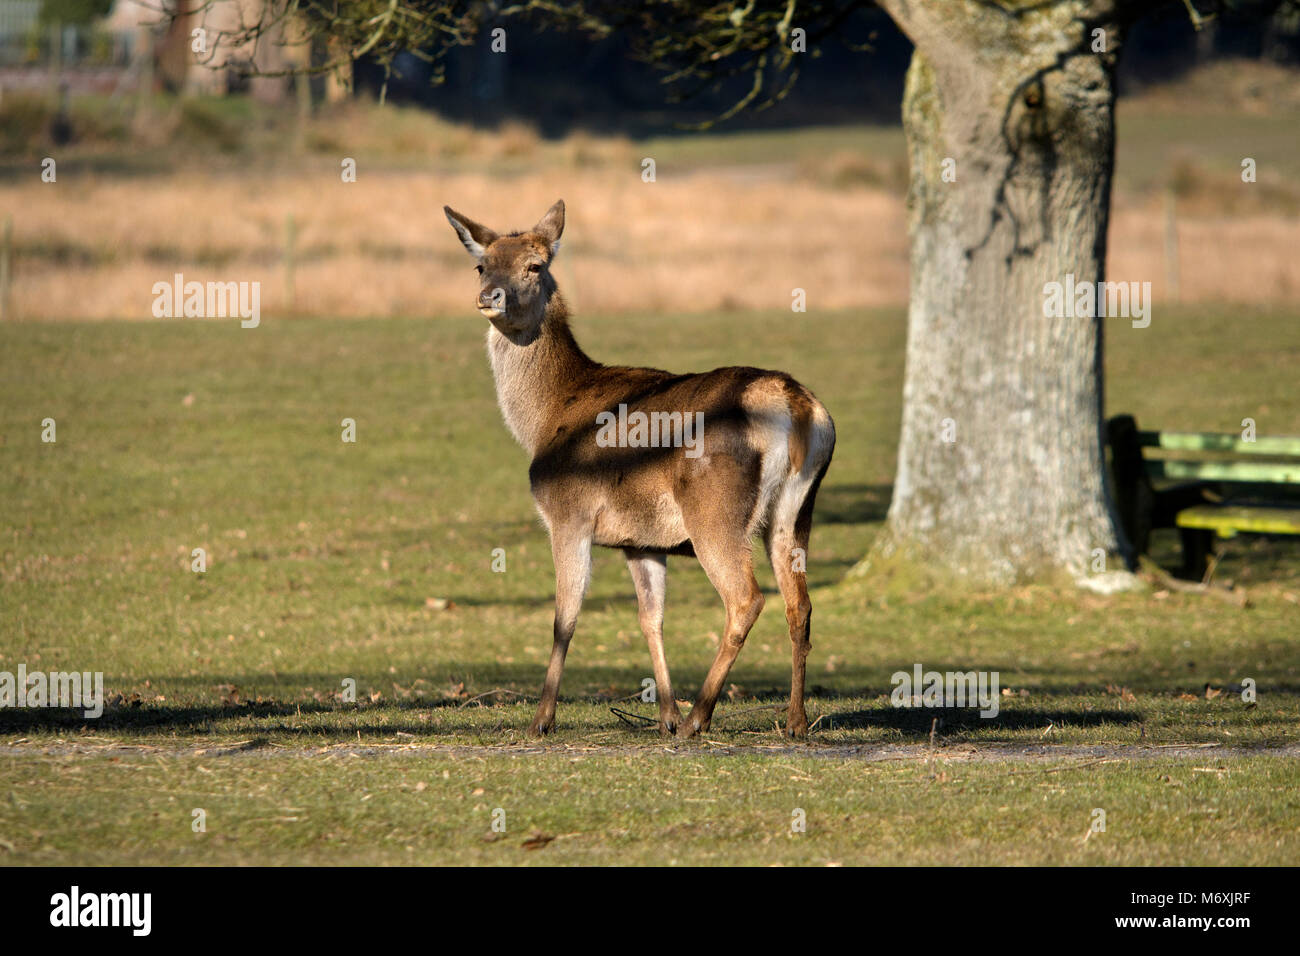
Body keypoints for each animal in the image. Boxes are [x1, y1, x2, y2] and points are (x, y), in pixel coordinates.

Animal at [444, 201, 832, 738]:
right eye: (481, 265)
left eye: (535, 266)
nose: (489, 297)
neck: (546, 417)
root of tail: (795, 405)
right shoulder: (641, 540)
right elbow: (652, 618)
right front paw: (664, 715)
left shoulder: (568, 514)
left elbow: (565, 617)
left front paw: (542, 719)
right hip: (796, 512)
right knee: (801, 604)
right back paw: (793, 721)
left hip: (715, 512)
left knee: (746, 599)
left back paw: (699, 717)